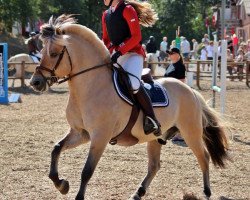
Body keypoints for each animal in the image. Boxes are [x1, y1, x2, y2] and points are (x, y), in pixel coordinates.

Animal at [28, 15, 229, 200]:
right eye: (41, 51)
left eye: (54, 53)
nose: (35, 82)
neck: (90, 87)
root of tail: (190, 91)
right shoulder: (81, 133)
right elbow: (56, 148)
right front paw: (61, 184)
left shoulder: (100, 137)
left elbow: (87, 171)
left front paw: (73, 192)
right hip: (156, 137)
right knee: (154, 166)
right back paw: (138, 193)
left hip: (190, 132)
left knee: (203, 157)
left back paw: (207, 191)